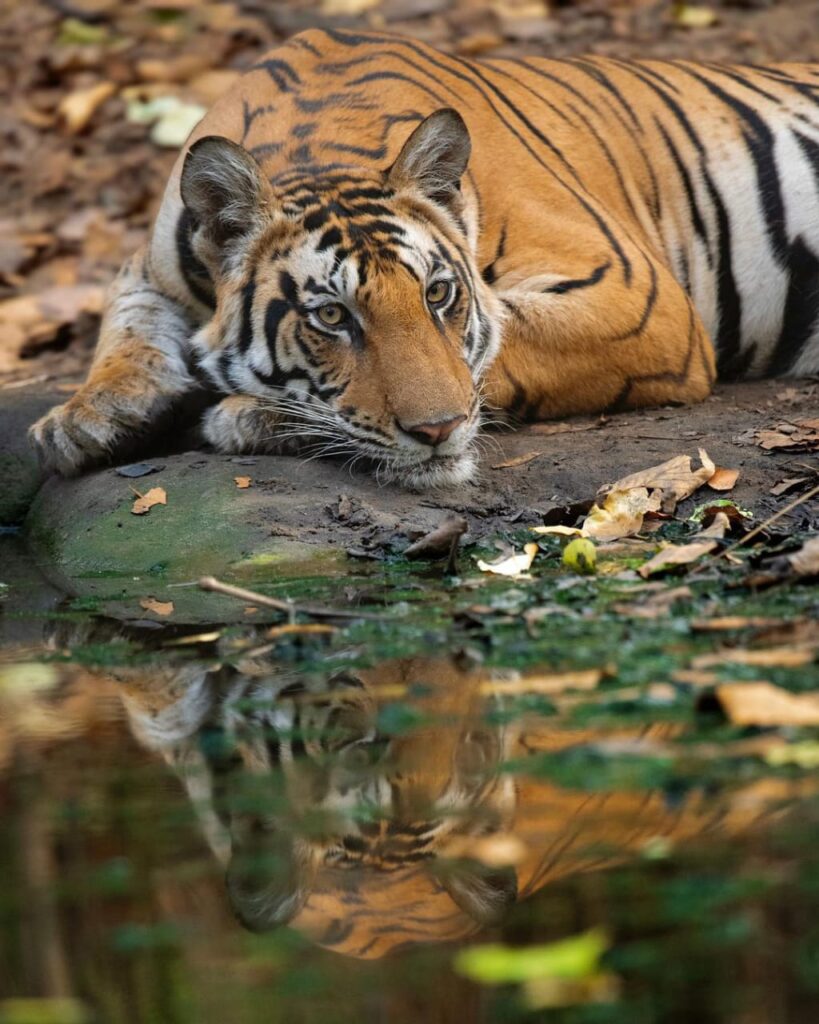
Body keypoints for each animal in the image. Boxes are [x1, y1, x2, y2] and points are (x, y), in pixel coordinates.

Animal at [28, 25, 818, 485]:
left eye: (438, 295)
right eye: (331, 317)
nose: (439, 434)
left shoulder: (636, 298)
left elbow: (503, 346)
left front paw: (249, 413)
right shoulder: (148, 266)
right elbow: (126, 331)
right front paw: (83, 418)